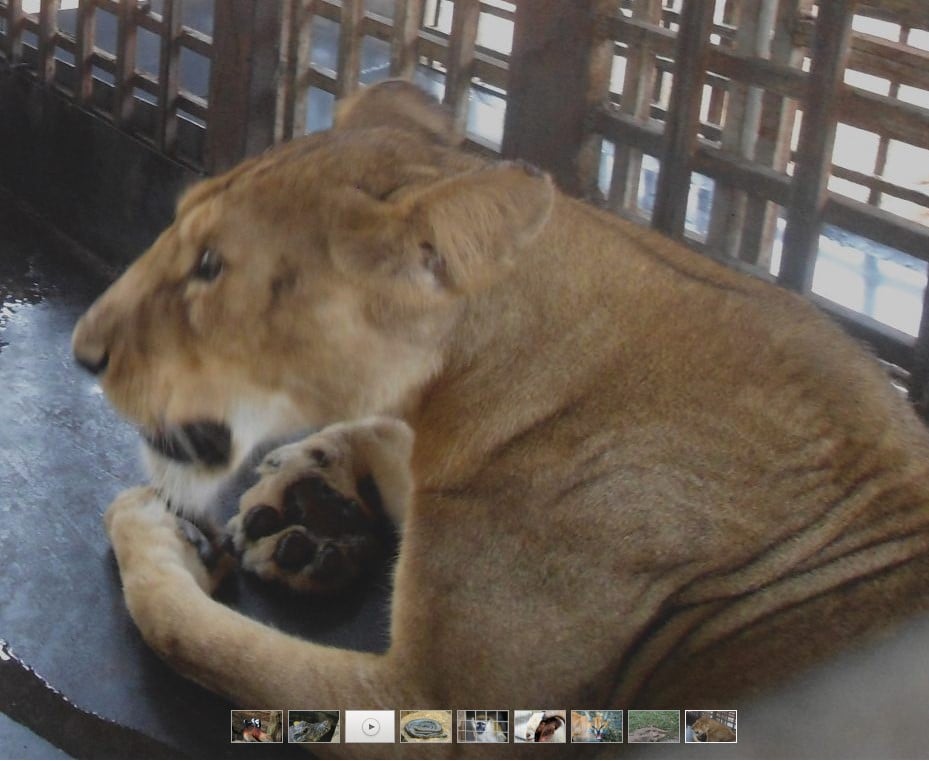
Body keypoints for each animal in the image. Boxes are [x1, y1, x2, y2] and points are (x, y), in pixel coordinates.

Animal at [71, 80, 929, 757]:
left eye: (211, 267)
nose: (83, 351)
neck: (458, 387)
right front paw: (306, 498)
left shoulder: (434, 706)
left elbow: (189, 631)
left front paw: (156, 531)